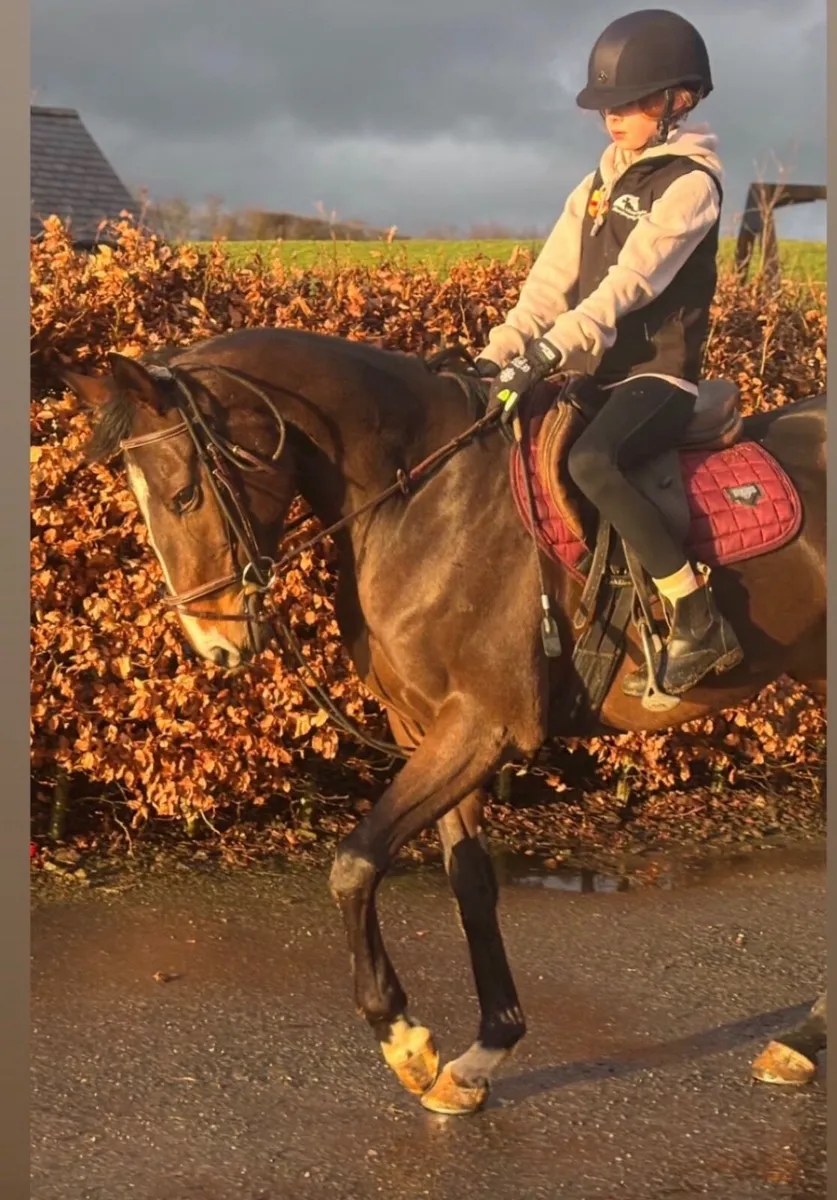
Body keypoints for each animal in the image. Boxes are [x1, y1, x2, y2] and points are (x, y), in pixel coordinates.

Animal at [59, 325, 827, 1114]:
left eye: (183, 494)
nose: (214, 645)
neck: (425, 503)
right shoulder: (426, 727)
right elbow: (469, 881)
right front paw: (482, 1053)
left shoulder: (482, 726)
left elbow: (355, 862)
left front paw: (403, 1039)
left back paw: (801, 1043)